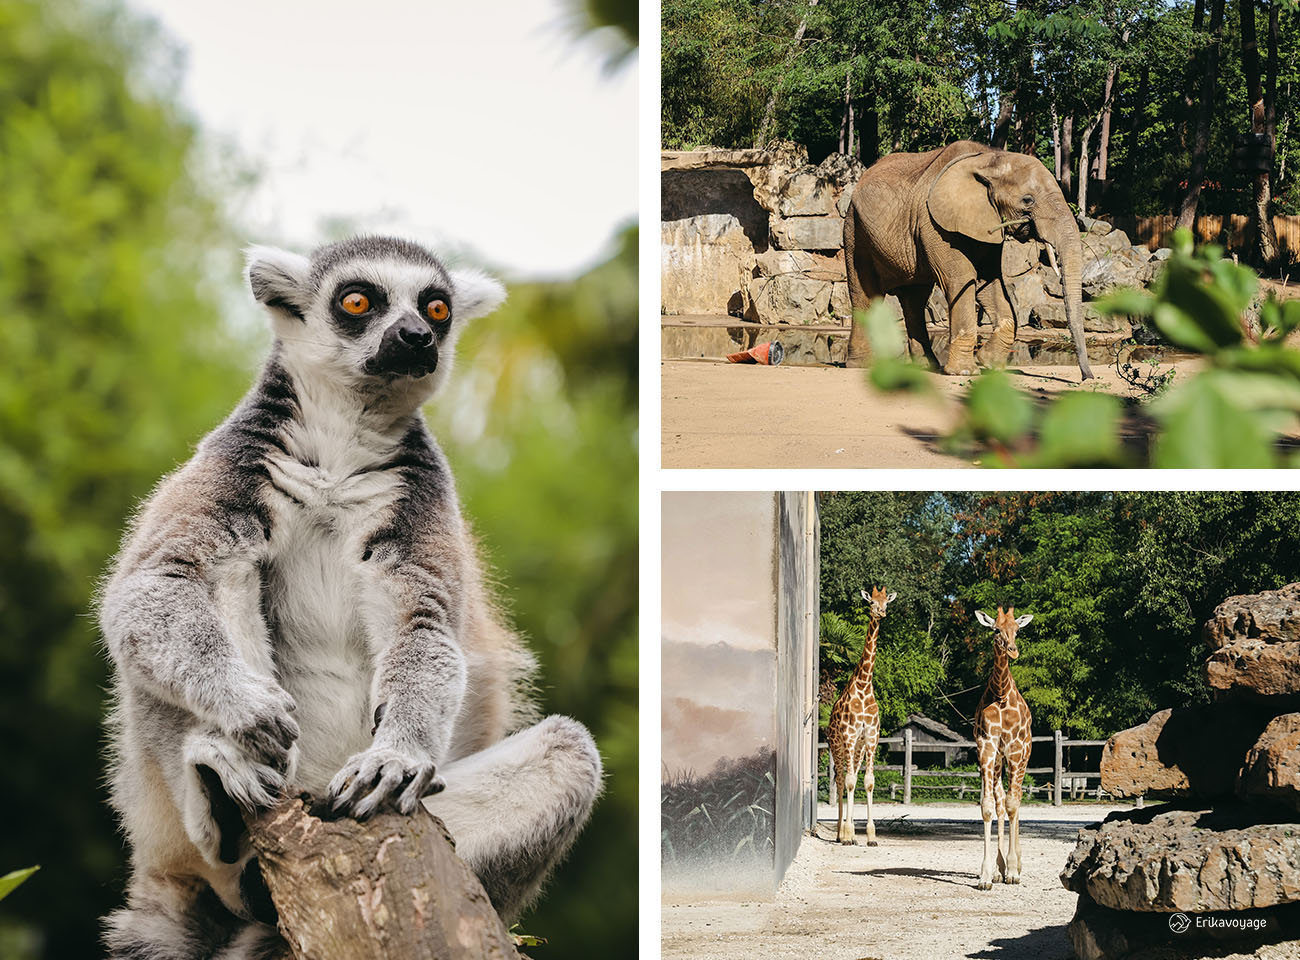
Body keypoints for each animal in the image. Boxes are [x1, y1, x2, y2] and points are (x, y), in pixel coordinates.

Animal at [847, 140, 1092, 379]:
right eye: (1028, 200)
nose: (1086, 377)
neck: (989, 159)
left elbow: (990, 281)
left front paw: (988, 363)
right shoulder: (933, 223)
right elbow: (962, 278)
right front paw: (964, 372)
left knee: (914, 299)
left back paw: (926, 367)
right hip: (855, 230)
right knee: (865, 294)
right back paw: (861, 365)